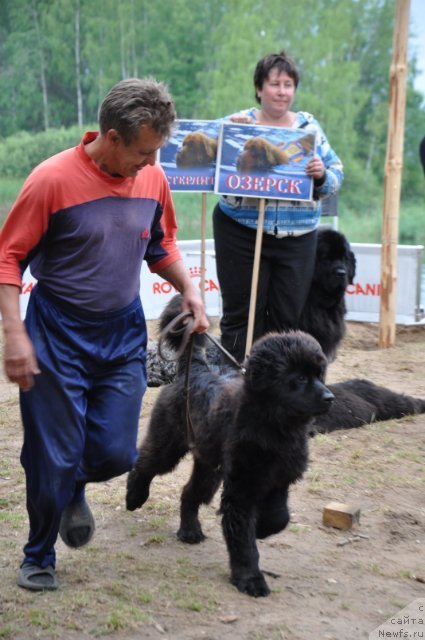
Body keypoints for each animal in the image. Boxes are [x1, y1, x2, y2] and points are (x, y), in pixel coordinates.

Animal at [126, 296, 334, 596]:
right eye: (300, 378)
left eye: (319, 374)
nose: (330, 397)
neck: (273, 427)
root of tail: (194, 369)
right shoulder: (242, 489)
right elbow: (243, 540)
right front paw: (250, 578)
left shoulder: (279, 479)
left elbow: (279, 516)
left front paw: (263, 529)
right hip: (169, 444)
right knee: (145, 464)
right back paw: (135, 497)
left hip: (210, 467)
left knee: (189, 493)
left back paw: (189, 531)